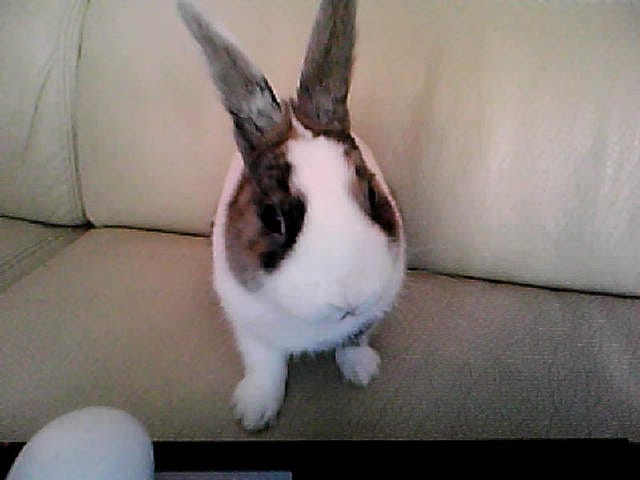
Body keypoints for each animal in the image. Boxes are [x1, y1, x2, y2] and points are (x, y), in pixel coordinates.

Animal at [178, 0, 406, 431]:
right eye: (273, 218)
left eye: (372, 195)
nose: (350, 297)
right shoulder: (250, 327)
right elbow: (266, 365)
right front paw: (254, 413)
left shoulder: (372, 312)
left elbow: (355, 338)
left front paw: (361, 371)